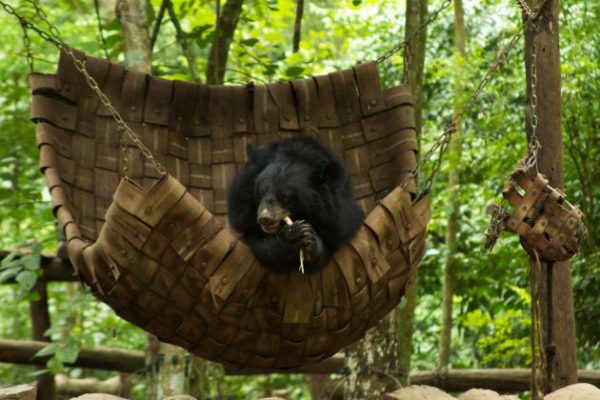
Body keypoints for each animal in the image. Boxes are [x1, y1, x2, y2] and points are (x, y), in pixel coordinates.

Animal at [227, 136, 364, 274]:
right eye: (261, 193)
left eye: (286, 198)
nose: (265, 219)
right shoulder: (242, 210)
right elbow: (256, 242)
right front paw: (292, 235)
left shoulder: (337, 217)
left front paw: (312, 239)